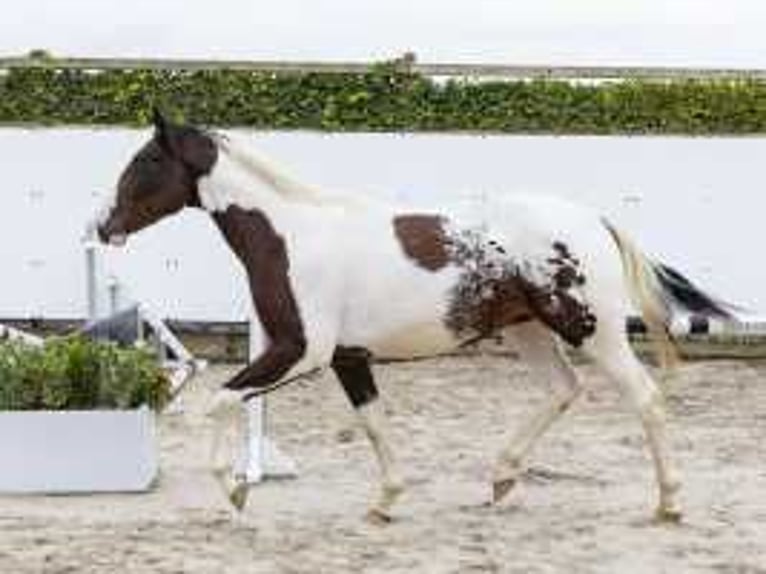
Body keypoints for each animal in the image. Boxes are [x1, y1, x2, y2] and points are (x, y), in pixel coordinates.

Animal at [96, 112, 732, 528]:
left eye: (147, 159)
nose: (104, 224)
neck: (291, 236)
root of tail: (594, 220)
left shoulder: (302, 351)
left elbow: (220, 401)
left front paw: (234, 493)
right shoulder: (347, 358)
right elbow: (374, 424)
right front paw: (385, 502)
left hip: (589, 328)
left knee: (645, 398)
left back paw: (669, 502)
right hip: (528, 329)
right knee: (562, 390)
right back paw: (502, 477)